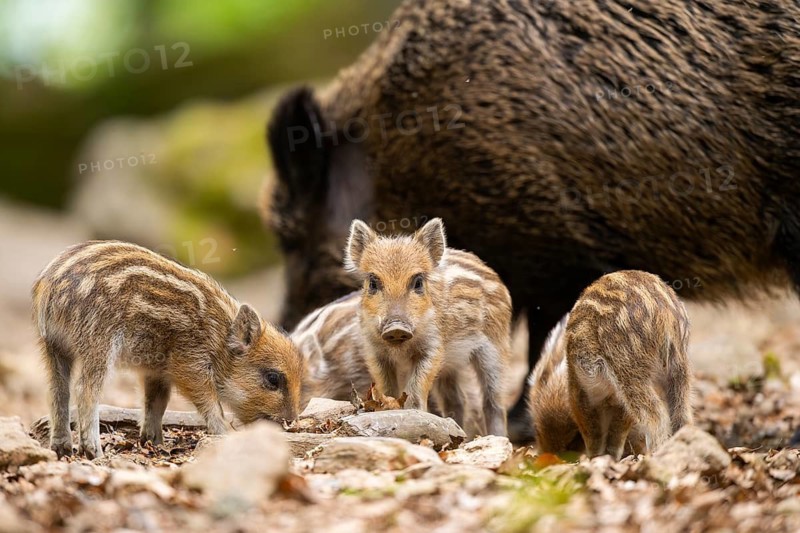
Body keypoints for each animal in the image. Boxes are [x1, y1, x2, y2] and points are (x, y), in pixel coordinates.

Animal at [32, 241, 304, 458]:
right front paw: (225, 434)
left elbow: (157, 402)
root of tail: (49, 288)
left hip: (54, 346)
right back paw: (94, 452)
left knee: (58, 391)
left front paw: (154, 442)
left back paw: (61, 448)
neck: (219, 340)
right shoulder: (190, 364)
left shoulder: (156, 371)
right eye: (273, 378)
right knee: (85, 390)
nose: (291, 422)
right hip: (98, 342)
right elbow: (210, 403)